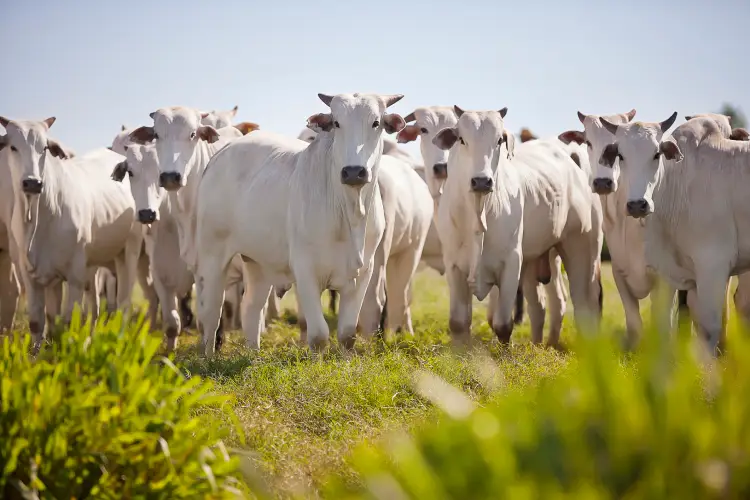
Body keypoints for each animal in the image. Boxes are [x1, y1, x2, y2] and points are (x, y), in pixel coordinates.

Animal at [0, 115, 142, 348]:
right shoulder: (32, 275)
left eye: (45, 147)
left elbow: (68, 322)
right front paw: (37, 353)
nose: (32, 182)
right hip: (93, 264)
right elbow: (41, 322)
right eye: (13, 147)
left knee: (123, 302)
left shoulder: (74, 274)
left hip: (129, 250)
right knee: (95, 306)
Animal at [190, 92, 403, 355]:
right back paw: (208, 356)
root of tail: (223, 152)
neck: (349, 213)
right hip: (213, 255)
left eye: (376, 123)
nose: (354, 172)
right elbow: (319, 335)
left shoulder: (363, 273)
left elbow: (347, 335)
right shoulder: (305, 270)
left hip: (257, 262)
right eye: (336, 123)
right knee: (211, 312)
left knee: (251, 308)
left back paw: (254, 355)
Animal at [432, 106, 602, 345]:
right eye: (462, 139)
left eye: (499, 140)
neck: (478, 212)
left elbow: (503, 325)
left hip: (582, 249)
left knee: (584, 304)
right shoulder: (454, 265)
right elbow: (458, 323)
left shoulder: (512, 262)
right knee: (543, 305)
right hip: (538, 260)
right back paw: (542, 345)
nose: (481, 181)